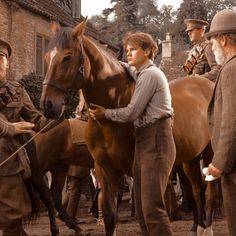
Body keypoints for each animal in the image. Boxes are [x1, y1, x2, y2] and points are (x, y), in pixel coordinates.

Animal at [40, 19, 218, 235]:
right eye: (46, 57)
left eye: (67, 57)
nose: (48, 105)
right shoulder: (105, 171)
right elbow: (109, 216)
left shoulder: (136, 172)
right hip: (190, 159)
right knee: (197, 190)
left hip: (209, 155)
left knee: (209, 194)